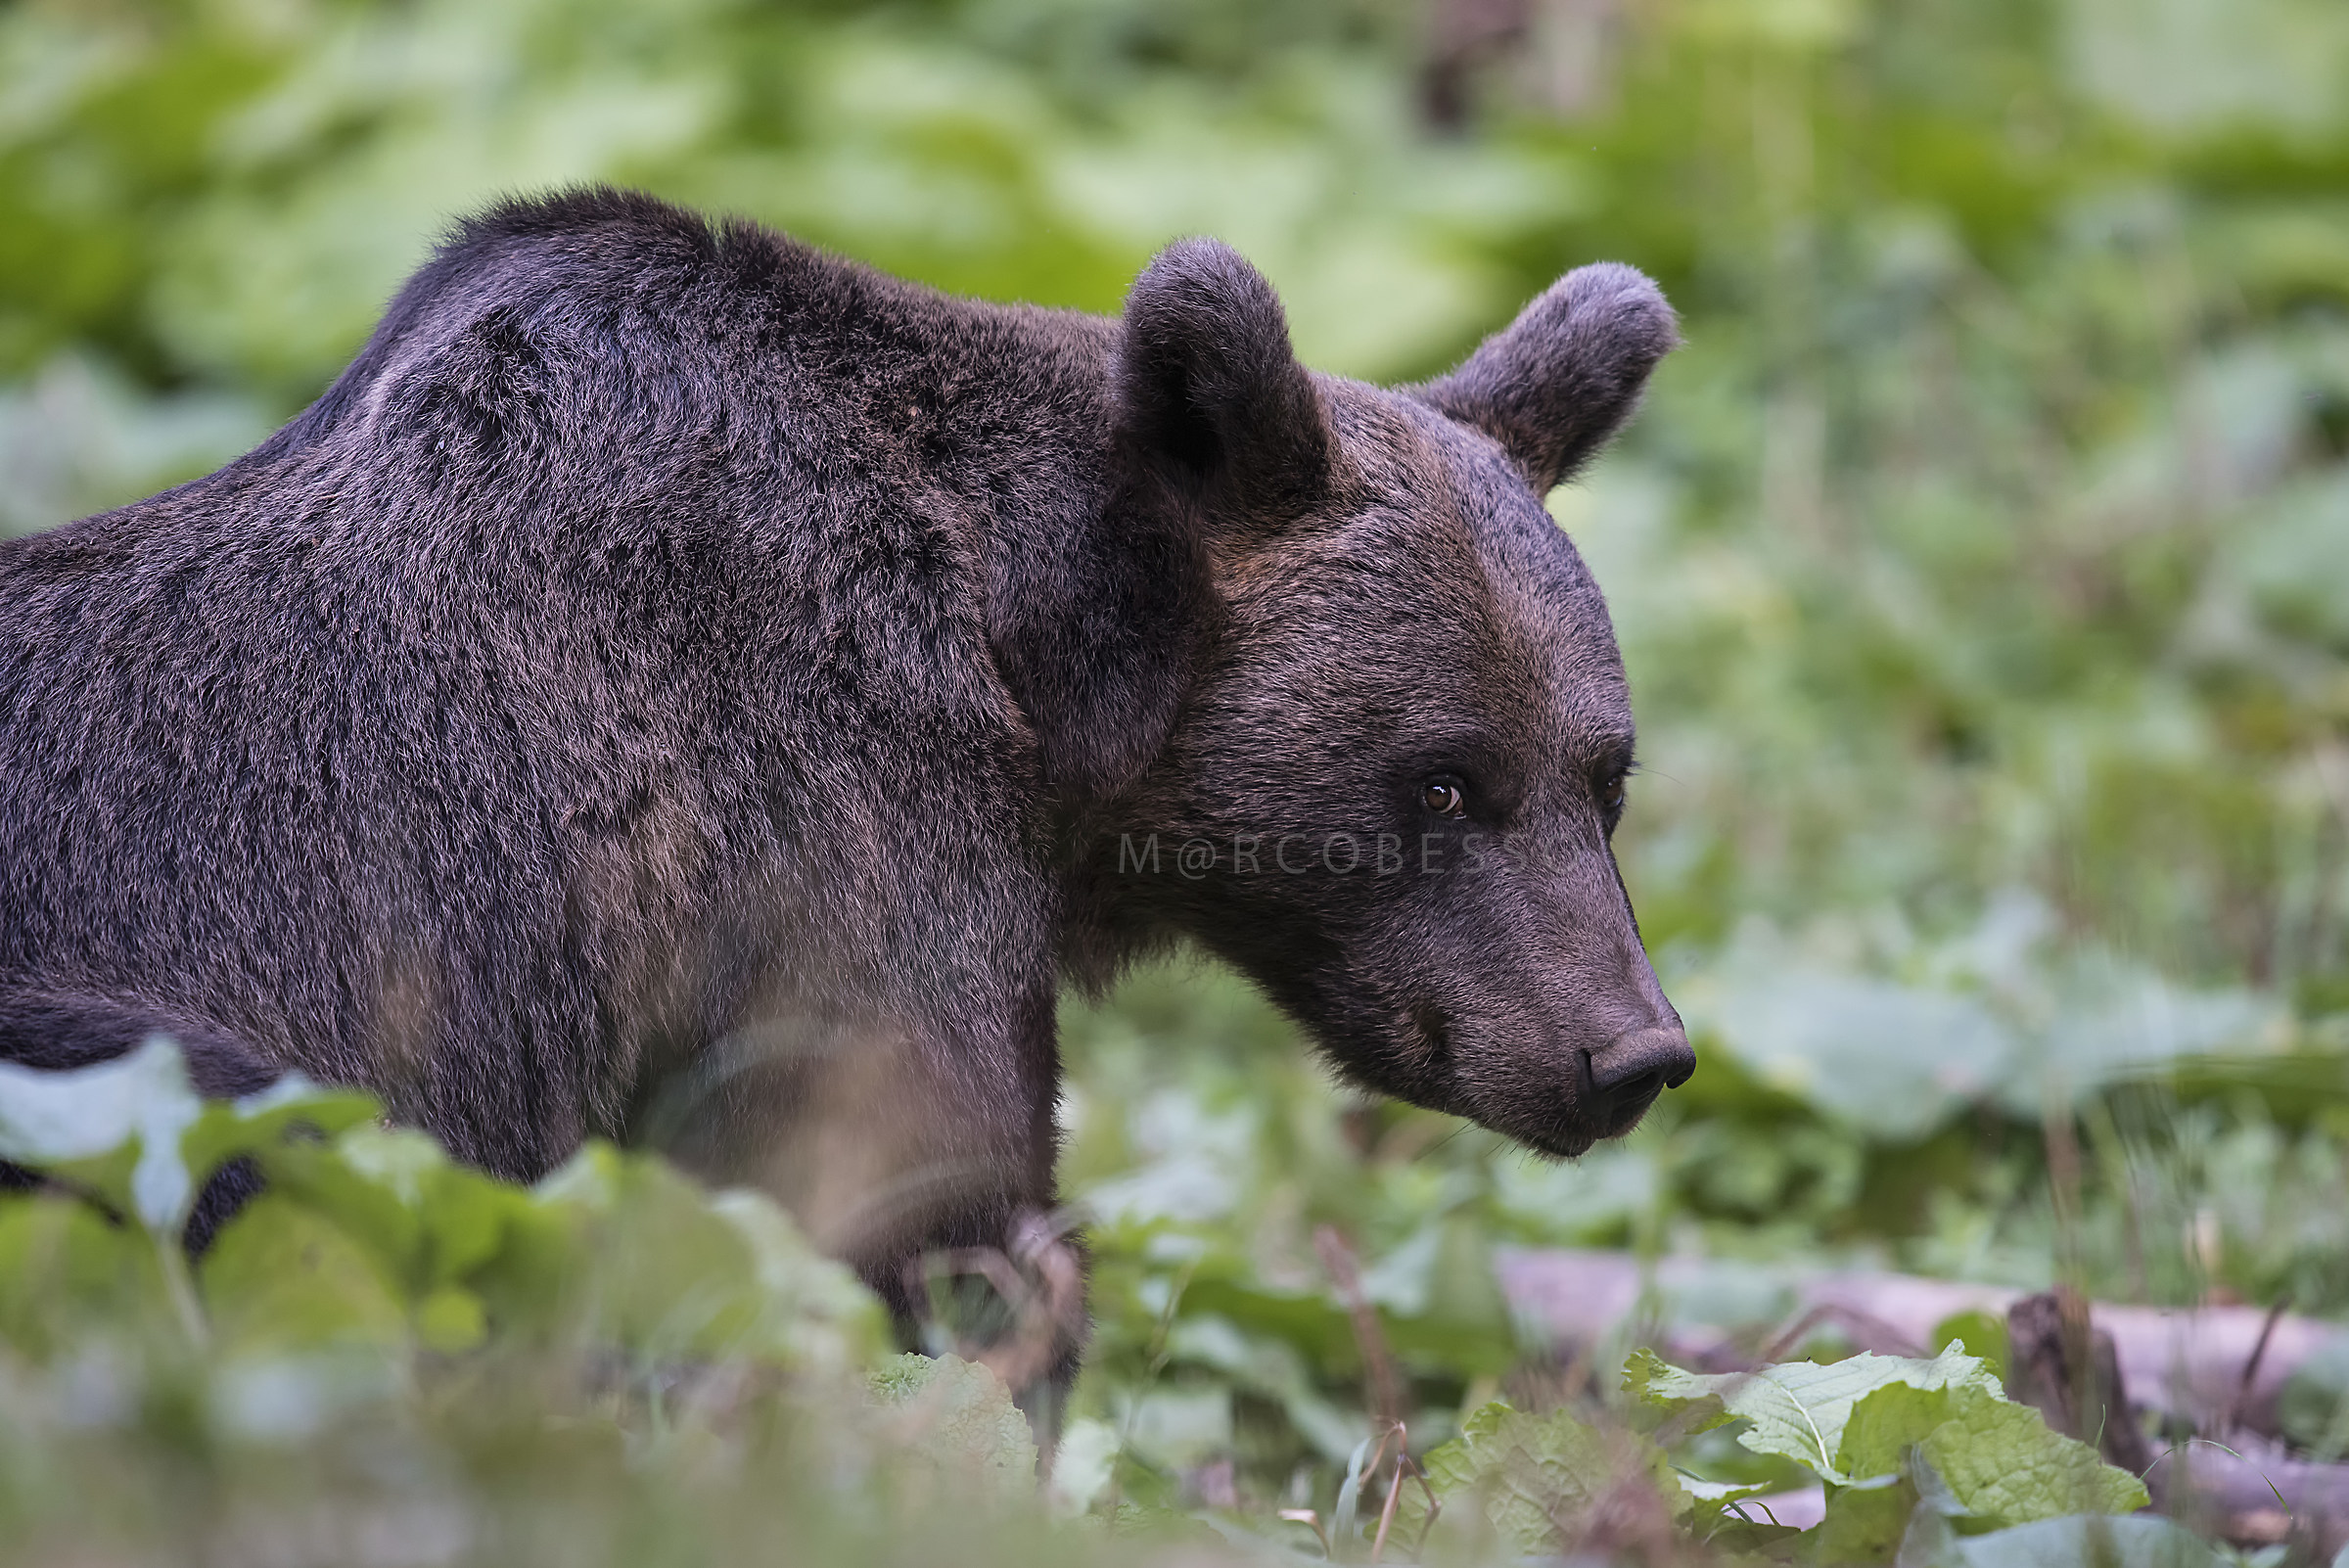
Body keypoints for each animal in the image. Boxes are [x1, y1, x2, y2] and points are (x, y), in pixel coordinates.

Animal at [0, 186, 1690, 1410]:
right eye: (1446, 777)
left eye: (1605, 773)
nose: (1630, 1052)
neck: (1042, 689)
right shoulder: (823, 819)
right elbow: (916, 1212)